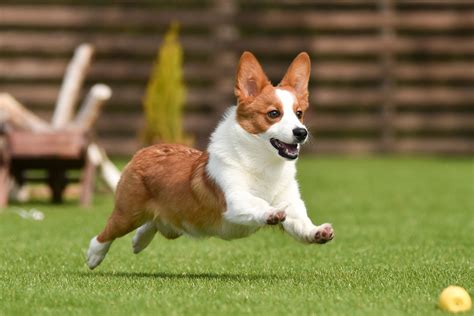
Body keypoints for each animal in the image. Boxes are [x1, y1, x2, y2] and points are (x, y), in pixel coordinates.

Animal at [86, 51, 334, 270]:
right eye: (274, 114)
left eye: (299, 113)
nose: (301, 132)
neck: (264, 165)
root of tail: (146, 150)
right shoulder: (234, 199)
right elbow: (258, 203)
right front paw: (271, 213)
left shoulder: (292, 204)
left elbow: (301, 222)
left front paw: (318, 232)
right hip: (127, 213)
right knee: (106, 232)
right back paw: (94, 255)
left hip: (172, 224)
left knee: (153, 223)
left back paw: (138, 242)